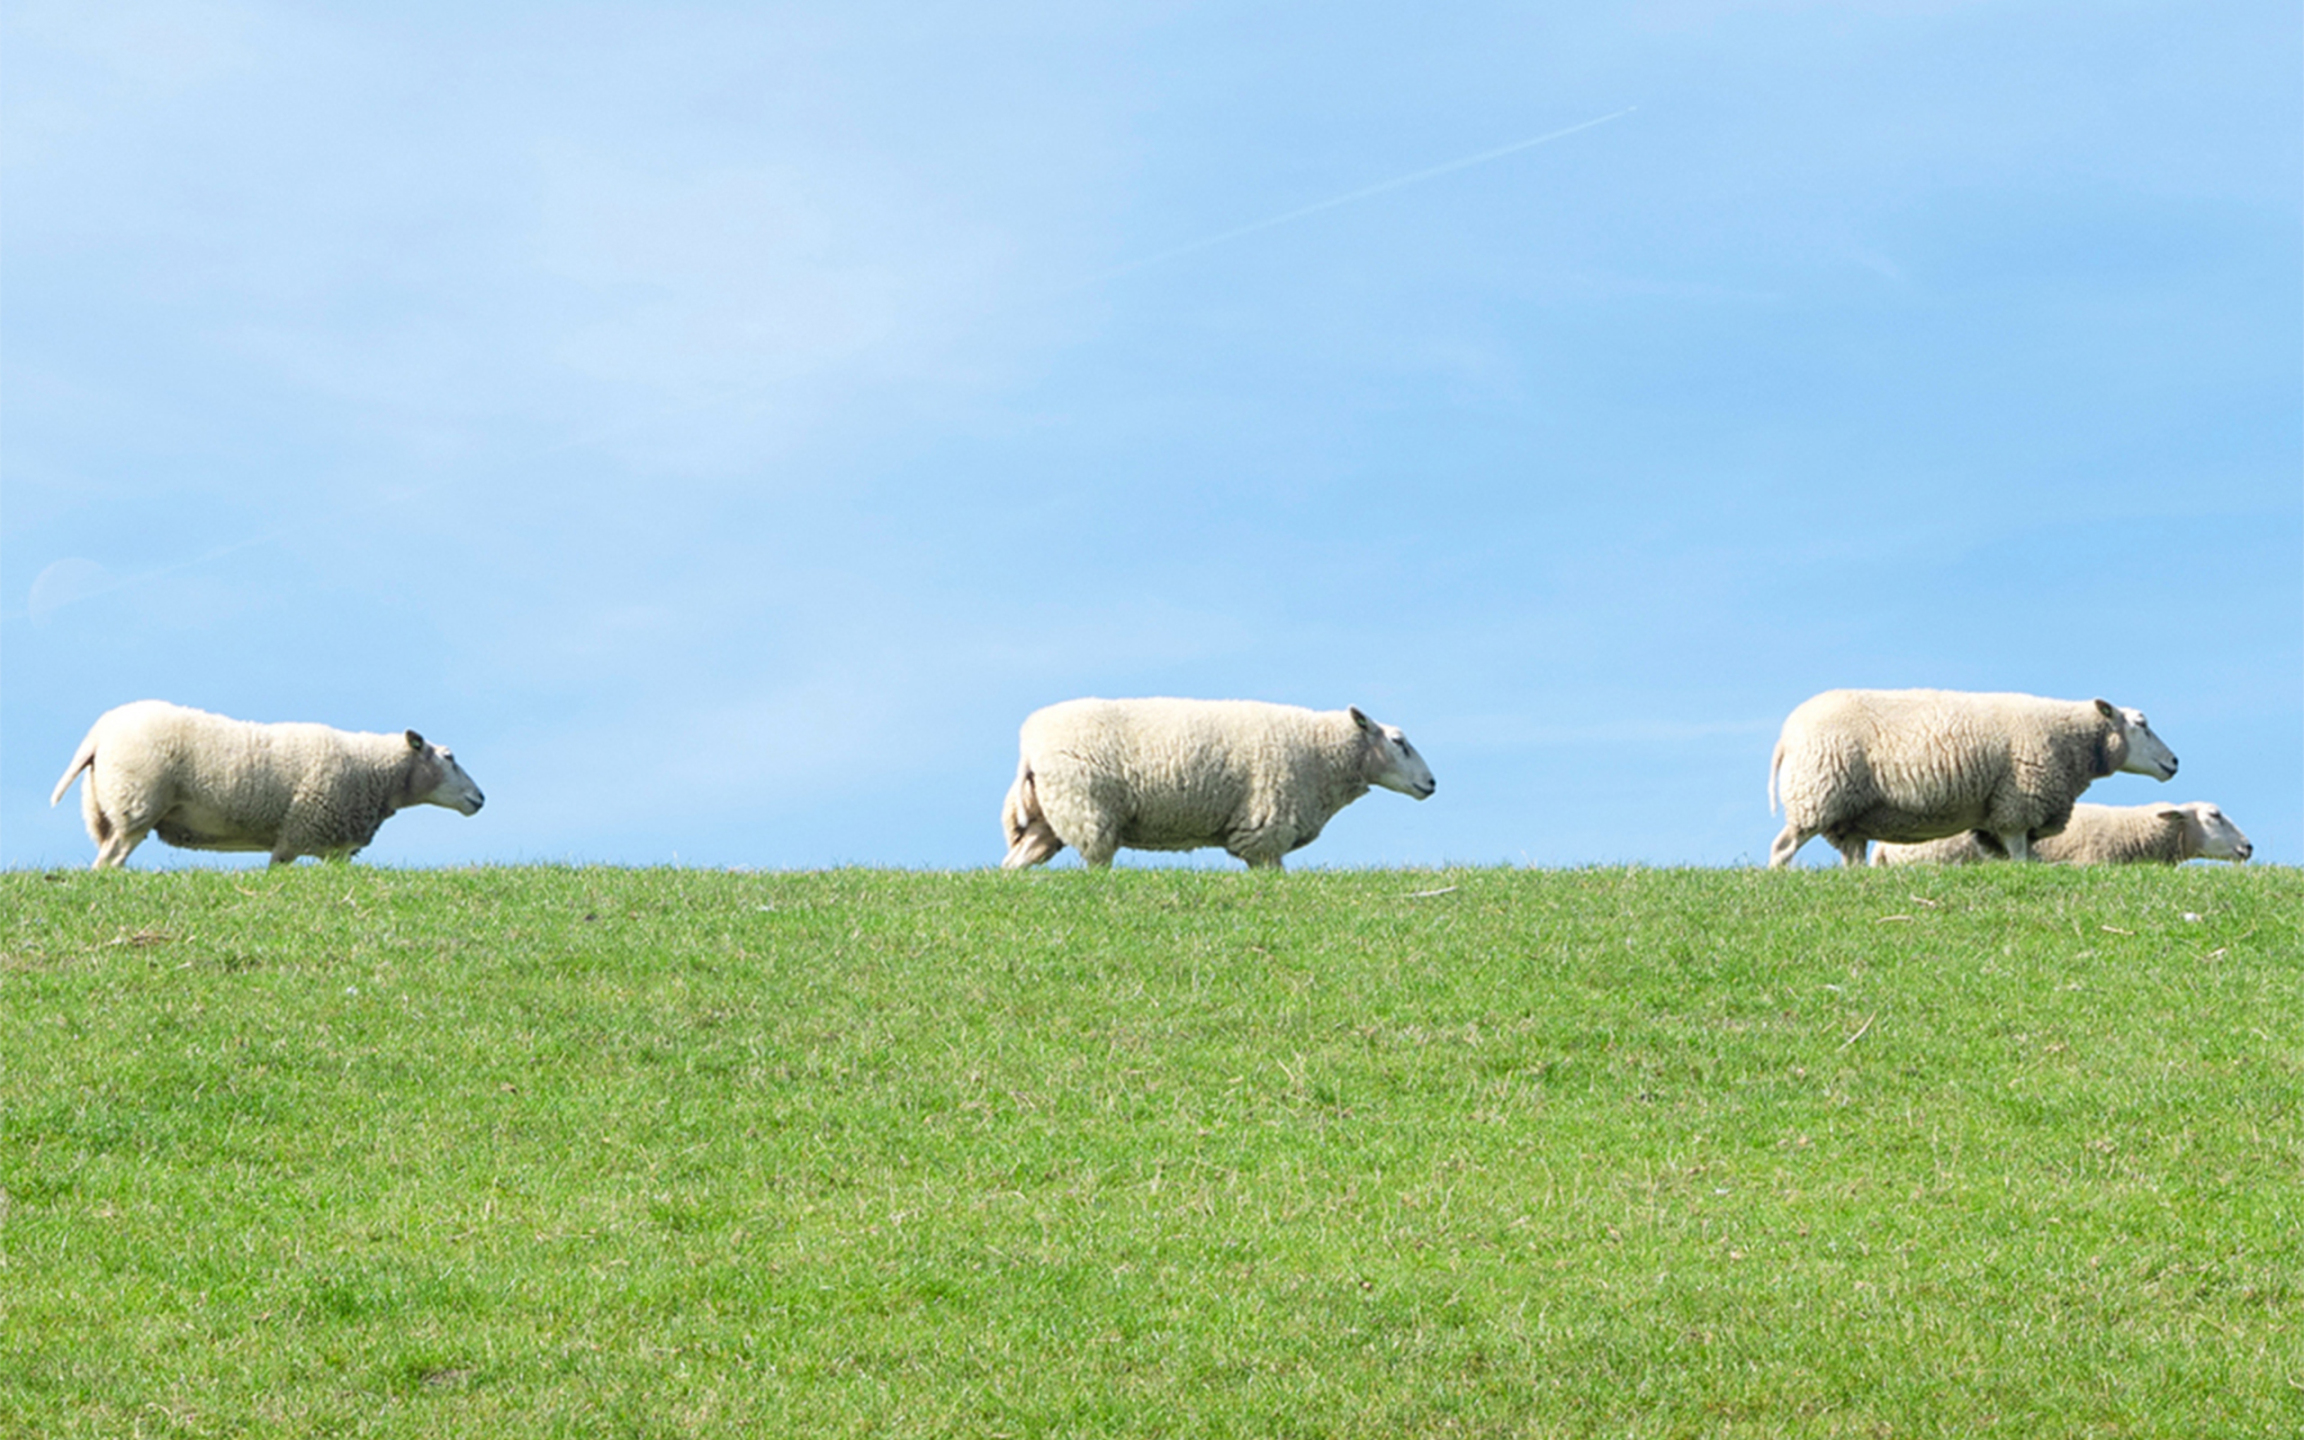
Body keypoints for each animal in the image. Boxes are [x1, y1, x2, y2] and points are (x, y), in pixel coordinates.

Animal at [49, 695, 483, 866]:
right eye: (449, 757)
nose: (479, 798)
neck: (373, 769)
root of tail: (100, 732)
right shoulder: (297, 831)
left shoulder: (336, 847)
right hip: (137, 803)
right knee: (108, 863)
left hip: (106, 810)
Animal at [999, 695, 1428, 870]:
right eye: (1399, 742)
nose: (1432, 782)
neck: (1322, 751)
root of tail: (1028, 743)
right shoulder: (1266, 828)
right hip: (1088, 807)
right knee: (1096, 862)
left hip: (1045, 817)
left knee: (1015, 863)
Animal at [1760, 686, 2174, 866]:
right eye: (2141, 724)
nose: (2175, 762)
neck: (2071, 739)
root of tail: (1785, 736)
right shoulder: (2017, 804)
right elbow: (2020, 855)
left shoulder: (1996, 816)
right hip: (1817, 796)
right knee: (1781, 848)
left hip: (1849, 817)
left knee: (1852, 858)